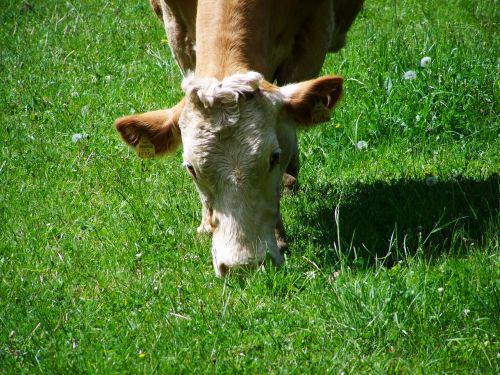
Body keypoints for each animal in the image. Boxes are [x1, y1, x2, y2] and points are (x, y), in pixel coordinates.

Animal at [114, 0, 364, 276]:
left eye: (274, 157)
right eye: (191, 169)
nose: (244, 266)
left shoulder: (314, 32)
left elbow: (288, 133)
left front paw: (279, 236)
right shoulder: (175, 29)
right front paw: (205, 226)